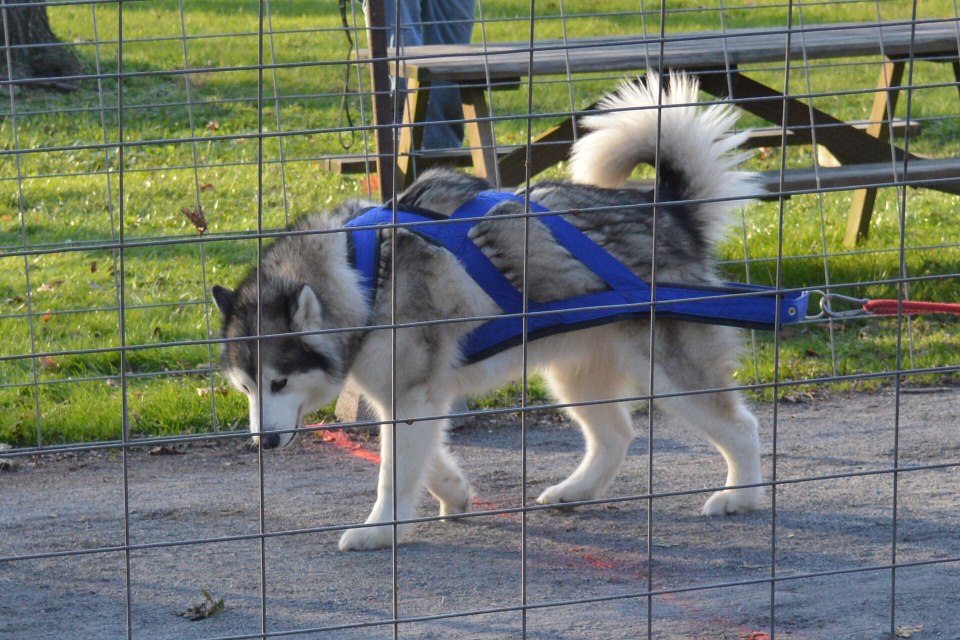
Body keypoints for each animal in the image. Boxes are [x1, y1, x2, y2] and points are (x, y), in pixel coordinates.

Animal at [212, 71, 764, 552]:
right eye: (246, 387)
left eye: (279, 382)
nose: (264, 442)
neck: (364, 269)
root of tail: (669, 210)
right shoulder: (410, 399)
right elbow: (426, 461)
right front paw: (454, 495)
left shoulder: (411, 395)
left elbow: (394, 473)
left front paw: (380, 530)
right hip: (574, 372)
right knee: (616, 434)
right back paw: (575, 491)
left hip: (668, 373)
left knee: (741, 427)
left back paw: (741, 496)